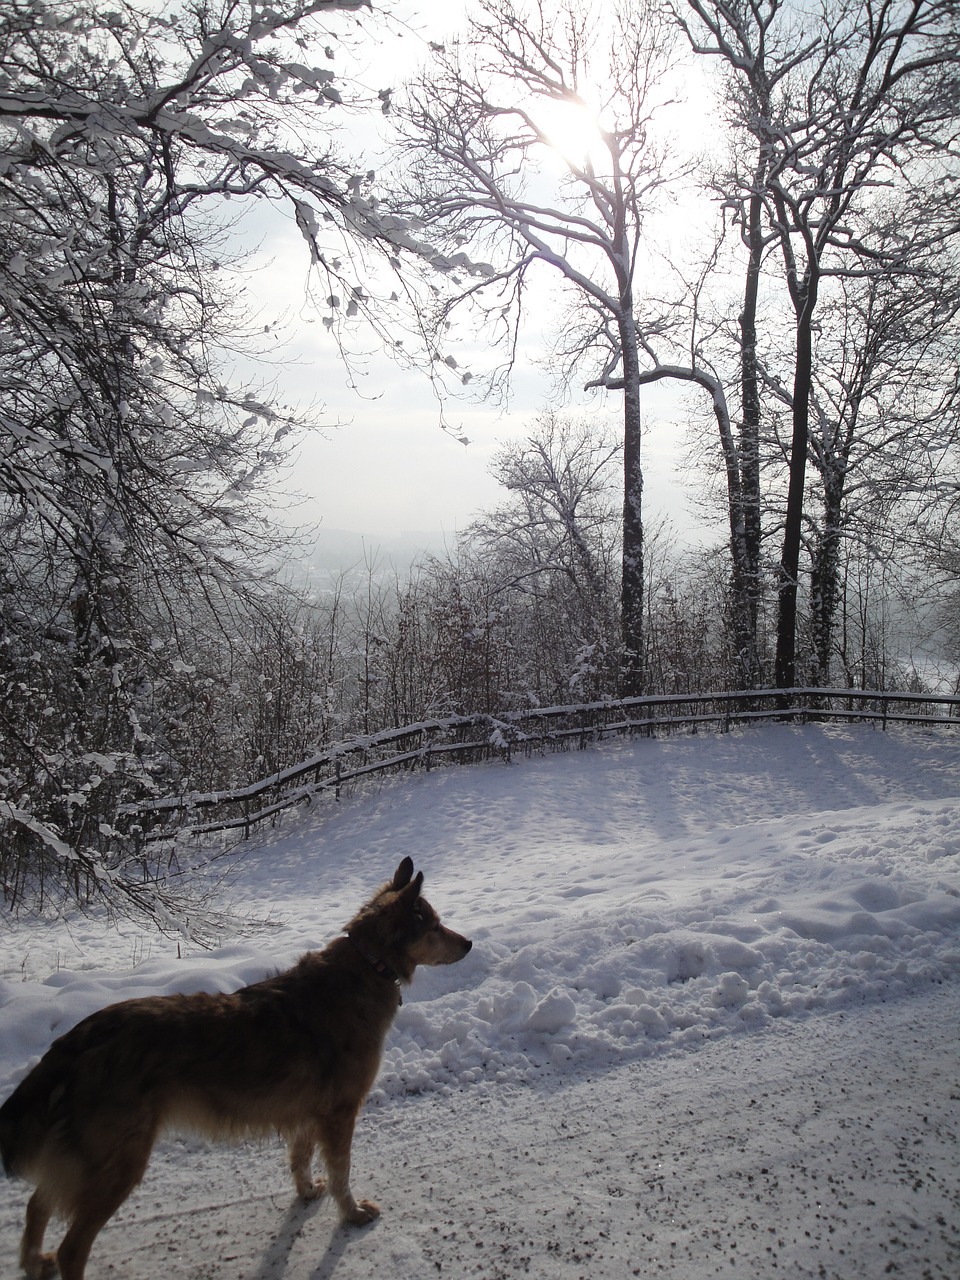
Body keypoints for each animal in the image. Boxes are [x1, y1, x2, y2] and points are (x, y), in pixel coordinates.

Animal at [0, 860, 473, 1280]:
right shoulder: (339, 1114)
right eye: (433, 926)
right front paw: (352, 1213)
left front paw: (306, 1193)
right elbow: (342, 1173)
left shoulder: (310, 1112)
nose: (468, 944)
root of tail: (80, 1037)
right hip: (118, 1162)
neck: (366, 964)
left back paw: (32, 1262)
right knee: (71, 1248)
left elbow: (300, 1157)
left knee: (37, 1204)